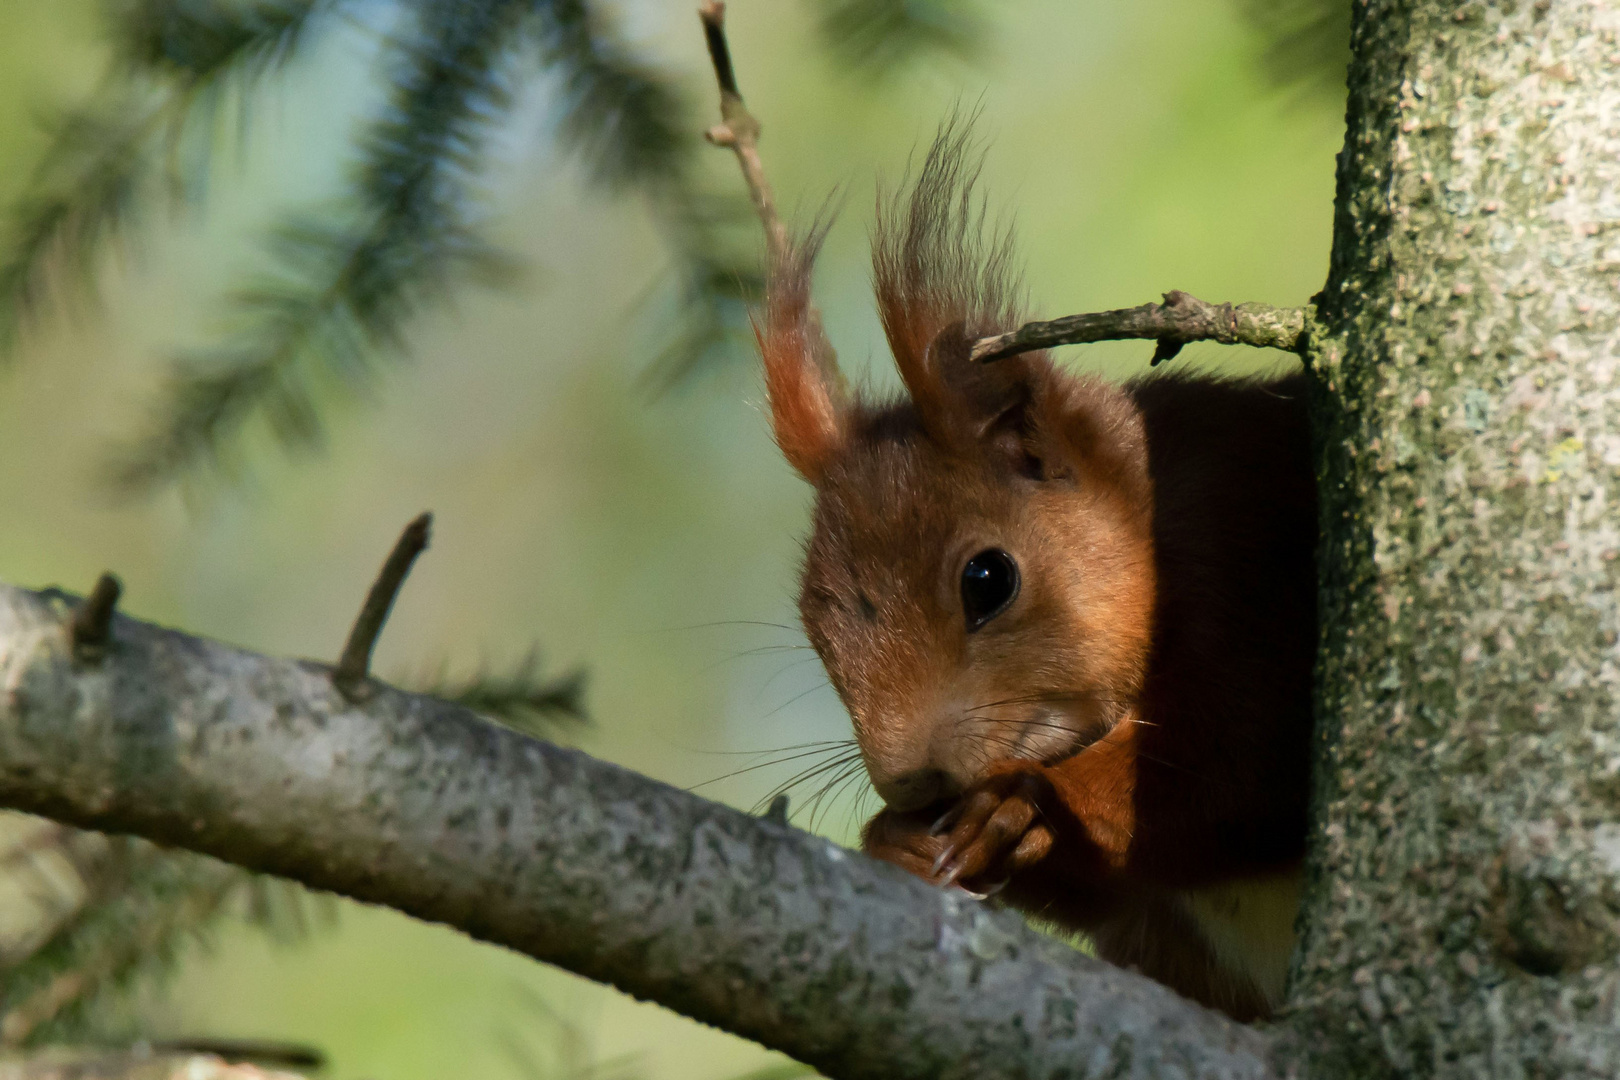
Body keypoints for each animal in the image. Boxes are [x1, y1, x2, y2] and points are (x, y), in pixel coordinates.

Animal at [754, 128, 1315, 1023]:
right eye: (816, 626)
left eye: (989, 580)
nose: (907, 783)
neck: (1146, 517)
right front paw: (896, 842)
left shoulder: (1249, 553)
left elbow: (1232, 765)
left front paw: (1020, 807)